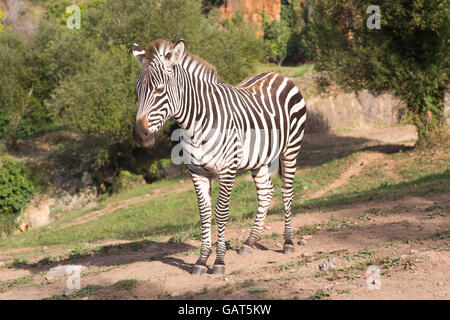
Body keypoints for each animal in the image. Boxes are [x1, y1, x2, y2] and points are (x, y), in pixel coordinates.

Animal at [131, 39, 306, 276]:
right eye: (136, 91)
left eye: (159, 90)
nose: (140, 136)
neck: (194, 126)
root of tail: (277, 74)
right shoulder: (196, 172)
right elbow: (204, 214)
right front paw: (201, 260)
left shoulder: (227, 169)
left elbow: (221, 212)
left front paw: (219, 261)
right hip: (258, 157)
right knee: (265, 192)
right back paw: (250, 242)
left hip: (290, 149)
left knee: (286, 191)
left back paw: (288, 242)